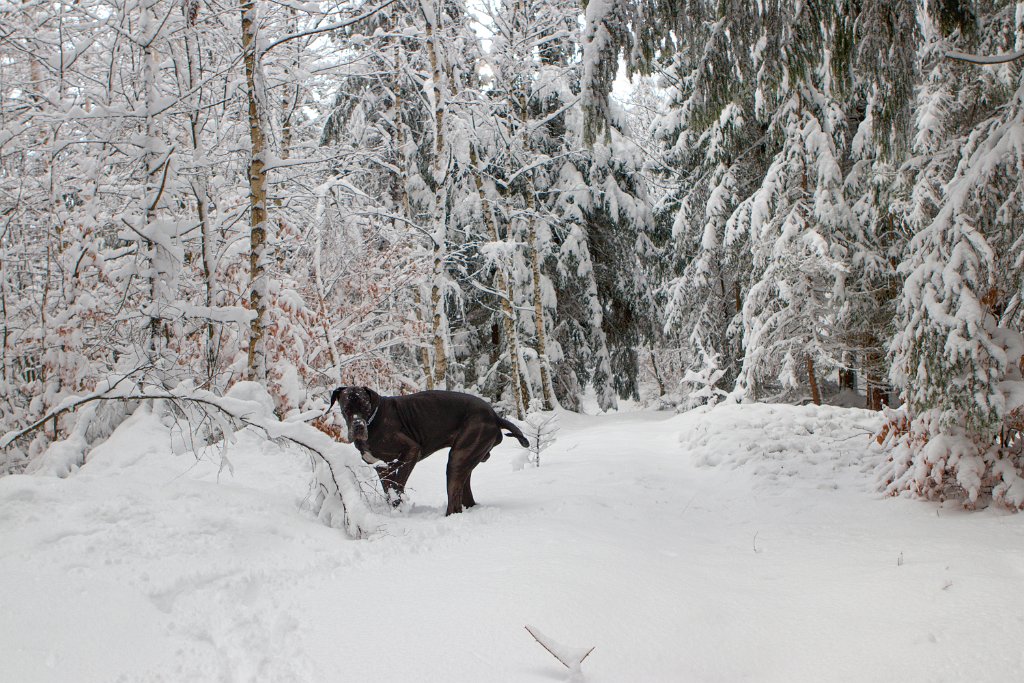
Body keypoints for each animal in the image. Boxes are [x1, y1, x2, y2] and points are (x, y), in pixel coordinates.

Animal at [331, 387, 532, 516]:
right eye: (346, 408)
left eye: (365, 407)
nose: (358, 426)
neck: (374, 421)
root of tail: (495, 416)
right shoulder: (381, 468)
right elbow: (389, 488)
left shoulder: (411, 451)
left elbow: (397, 484)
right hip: (466, 459)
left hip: (458, 459)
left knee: (454, 502)